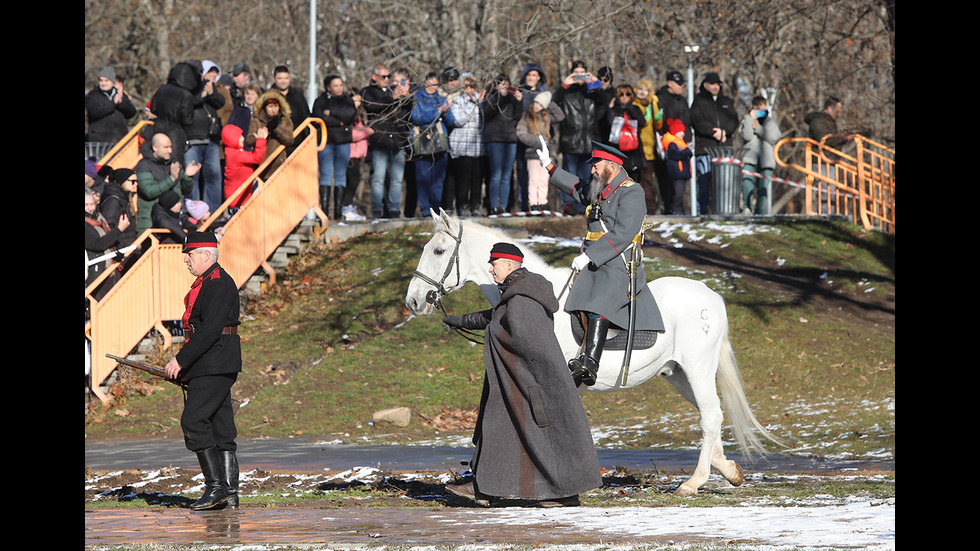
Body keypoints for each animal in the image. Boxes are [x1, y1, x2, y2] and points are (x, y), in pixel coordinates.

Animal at [404, 210, 780, 496]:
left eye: (438, 251)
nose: (413, 301)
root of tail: (711, 296)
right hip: (679, 375)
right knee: (711, 416)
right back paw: (727, 469)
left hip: (698, 369)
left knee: (711, 417)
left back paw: (693, 483)